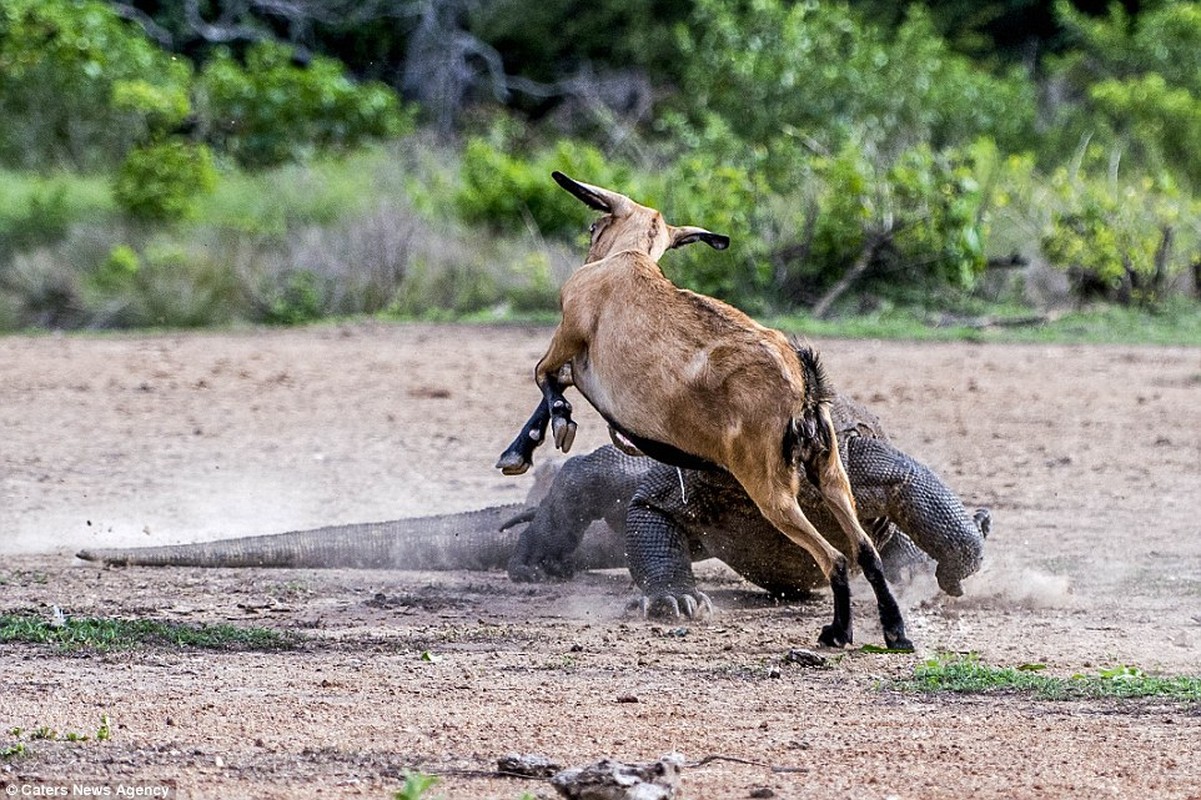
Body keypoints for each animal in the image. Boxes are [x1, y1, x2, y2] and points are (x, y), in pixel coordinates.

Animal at [497, 171, 907, 643]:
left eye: (593, 226)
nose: (589, 249)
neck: (630, 259)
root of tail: (804, 388)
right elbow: (551, 388)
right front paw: (522, 449)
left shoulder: (568, 341)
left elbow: (544, 378)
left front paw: (544, 434)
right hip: (831, 473)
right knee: (866, 551)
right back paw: (896, 632)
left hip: (771, 487)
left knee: (835, 558)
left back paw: (838, 632)